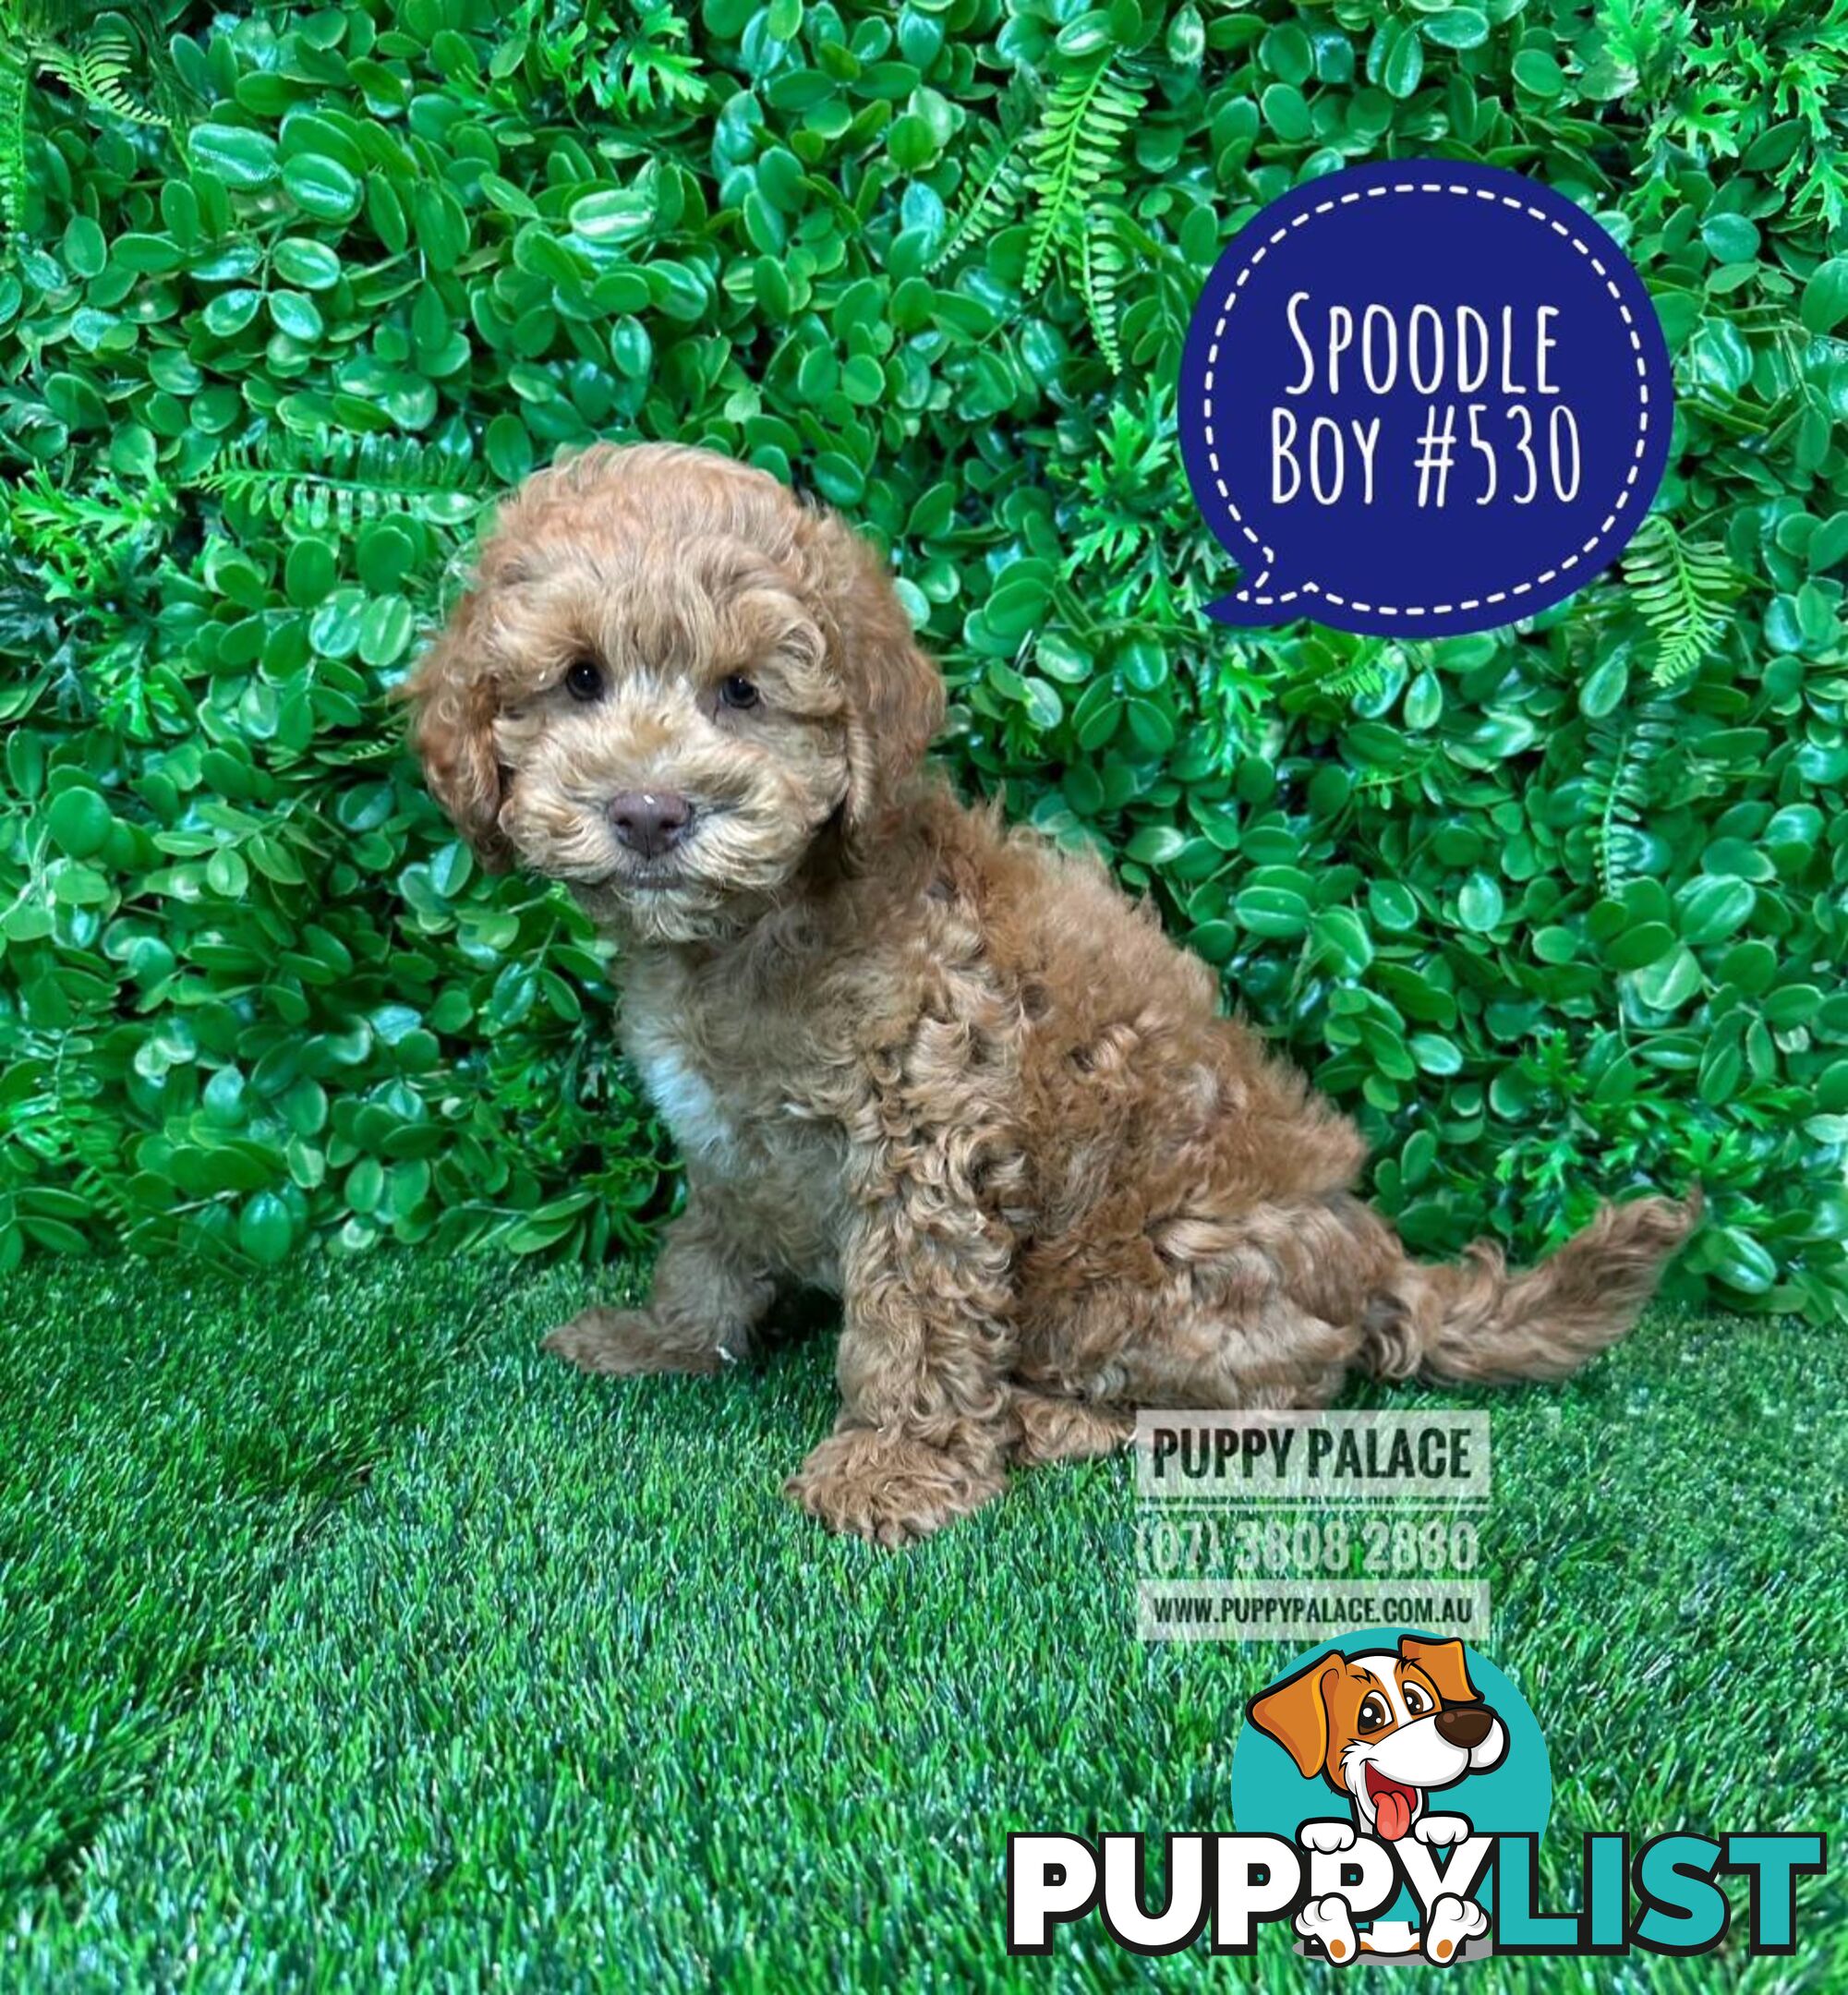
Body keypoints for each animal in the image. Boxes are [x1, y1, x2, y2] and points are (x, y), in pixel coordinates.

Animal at [408, 444, 1708, 1548]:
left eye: (741, 695)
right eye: (579, 679)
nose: (649, 812)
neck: (755, 927)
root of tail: (1384, 1274)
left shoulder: (922, 1135)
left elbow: (916, 1318)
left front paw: (896, 1469)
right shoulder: (731, 1140)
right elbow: (710, 1242)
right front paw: (666, 1336)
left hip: (1138, 1285)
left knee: (1254, 1409)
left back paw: (1049, 1417)